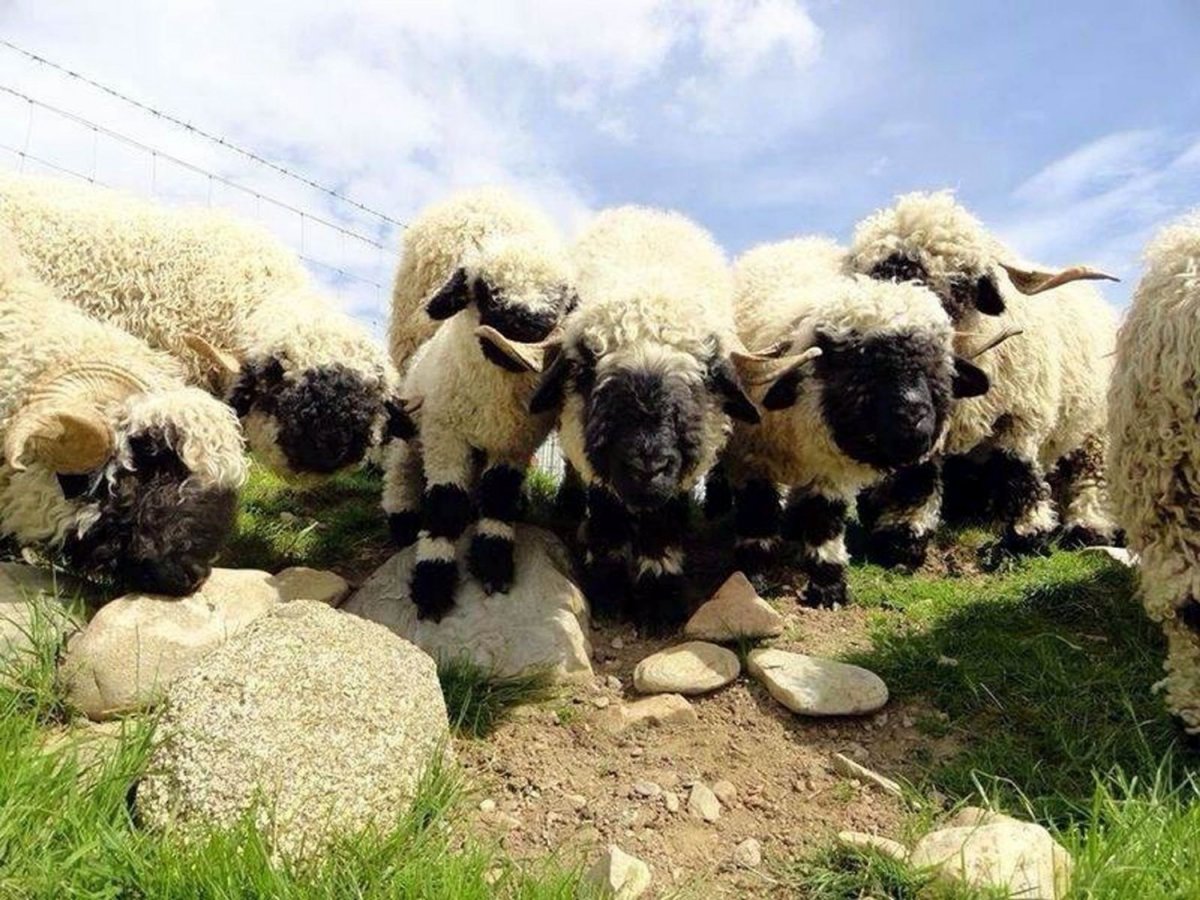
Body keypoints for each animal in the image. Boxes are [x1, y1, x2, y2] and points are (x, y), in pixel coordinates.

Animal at [382, 188, 577, 620]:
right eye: (486, 290)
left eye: (561, 300)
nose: (525, 324)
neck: (494, 397)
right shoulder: (445, 434)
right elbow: (446, 505)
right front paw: (433, 584)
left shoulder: (515, 444)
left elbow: (498, 498)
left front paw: (494, 564)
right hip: (417, 421)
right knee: (401, 463)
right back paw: (401, 518)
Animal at [483, 206, 806, 633]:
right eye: (584, 369)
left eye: (708, 374)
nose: (646, 466)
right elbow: (607, 513)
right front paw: (608, 591)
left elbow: (662, 525)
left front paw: (659, 600)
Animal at [718, 236, 988, 606]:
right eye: (857, 364)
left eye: (937, 365)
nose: (913, 414)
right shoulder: (752, 458)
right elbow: (757, 514)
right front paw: (754, 576)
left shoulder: (829, 471)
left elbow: (825, 520)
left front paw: (827, 586)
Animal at [845, 191, 1120, 566]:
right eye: (878, 276)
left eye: (960, 283)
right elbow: (916, 475)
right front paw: (902, 536)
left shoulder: (1021, 416)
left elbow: (1017, 472)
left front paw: (1025, 537)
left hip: (1095, 430)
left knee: (1090, 476)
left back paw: (1087, 527)